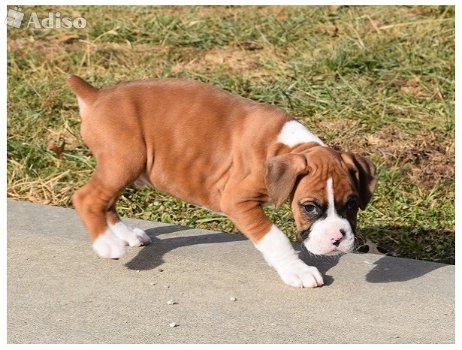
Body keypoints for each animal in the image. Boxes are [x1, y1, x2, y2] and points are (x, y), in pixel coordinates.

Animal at [69, 76, 378, 288]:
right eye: (310, 207)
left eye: (352, 205)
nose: (338, 239)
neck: (282, 147)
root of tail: (96, 95)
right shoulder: (237, 201)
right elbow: (274, 236)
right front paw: (297, 270)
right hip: (125, 161)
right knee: (88, 198)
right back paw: (107, 245)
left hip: (123, 168)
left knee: (107, 202)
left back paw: (125, 236)